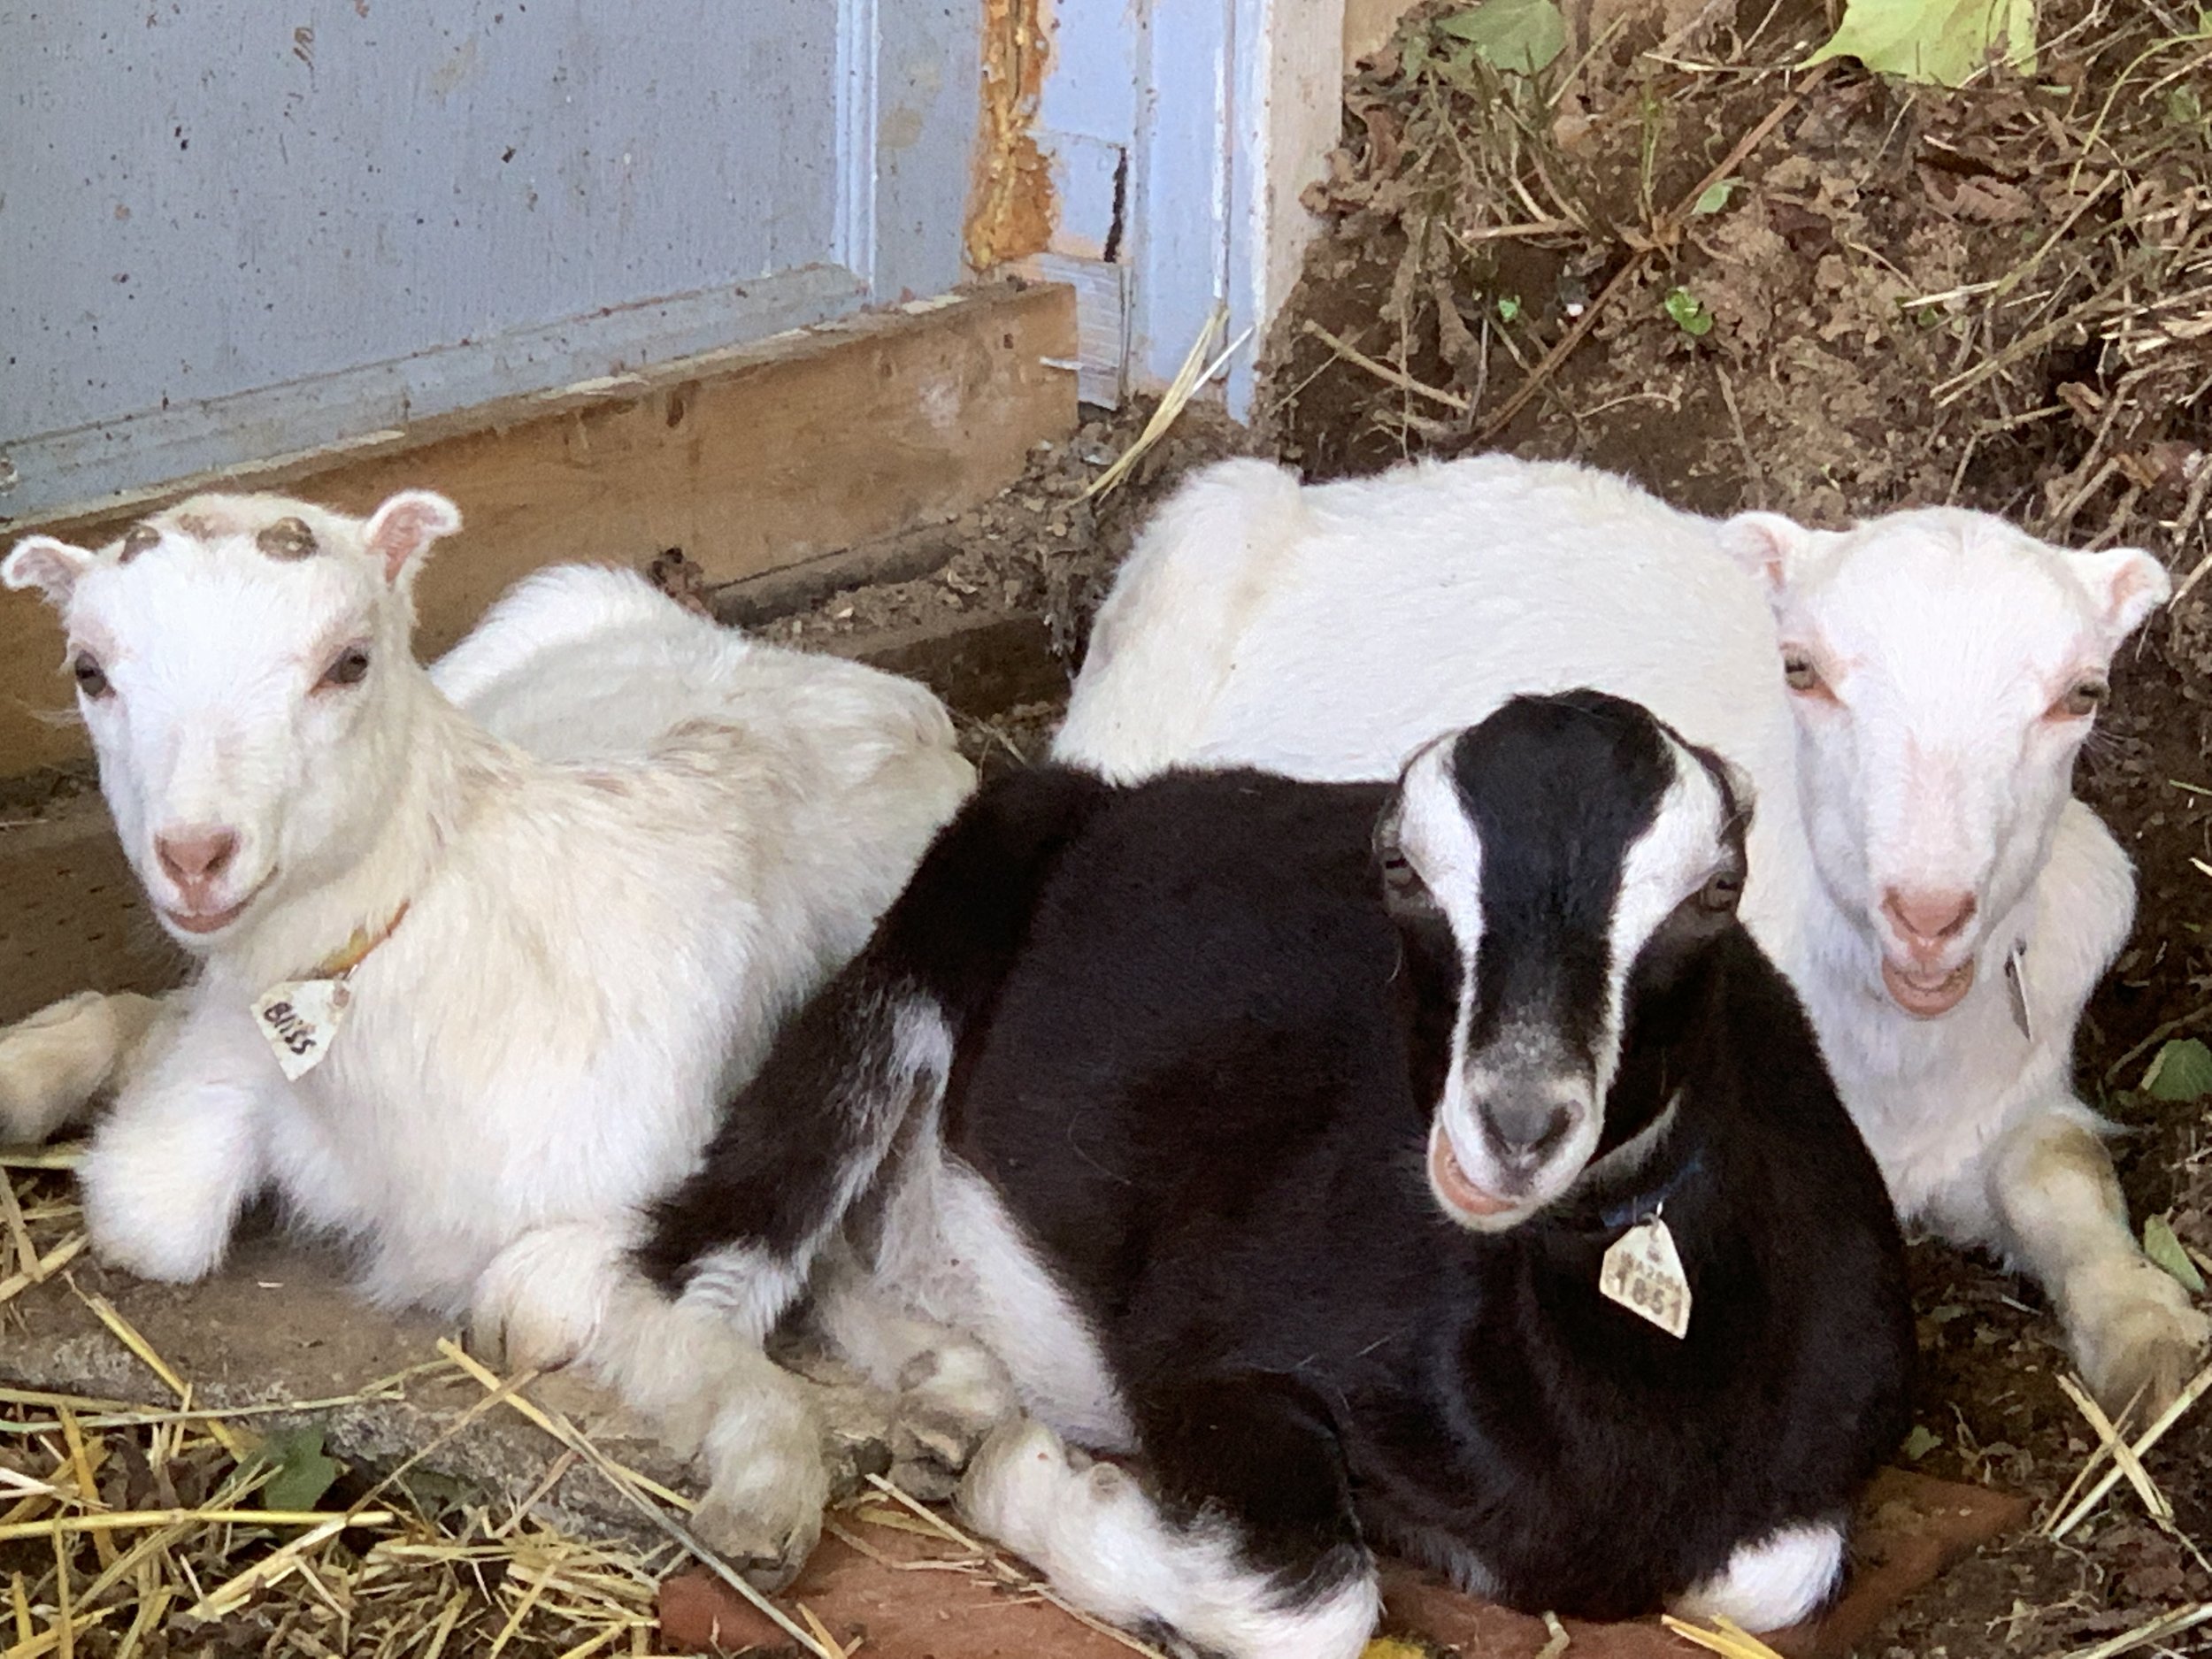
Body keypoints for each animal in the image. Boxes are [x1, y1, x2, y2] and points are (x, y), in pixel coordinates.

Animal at [0, 490, 976, 1579]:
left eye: (349, 661)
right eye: (90, 670)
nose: (195, 855)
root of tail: (766, 652)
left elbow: (526, 1314)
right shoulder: (229, 1044)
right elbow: (148, 1213)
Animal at [635, 690, 1915, 1658]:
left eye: (1715, 890)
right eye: (1400, 870)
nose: (1512, 1124)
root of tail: (1115, 797)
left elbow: (1774, 1572)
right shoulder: (1211, 1354)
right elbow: (1311, 1606)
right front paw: (1034, 1484)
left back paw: (948, 1396)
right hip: (915, 950)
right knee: (705, 1263)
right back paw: (773, 1485)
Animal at [1052, 454, 2208, 1420]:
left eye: (2081, 695)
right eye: (1802, 670)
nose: (1925, 912)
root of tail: (1357, 490)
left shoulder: (2012, 1089)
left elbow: (2060, 1167)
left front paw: (2150, 1337)